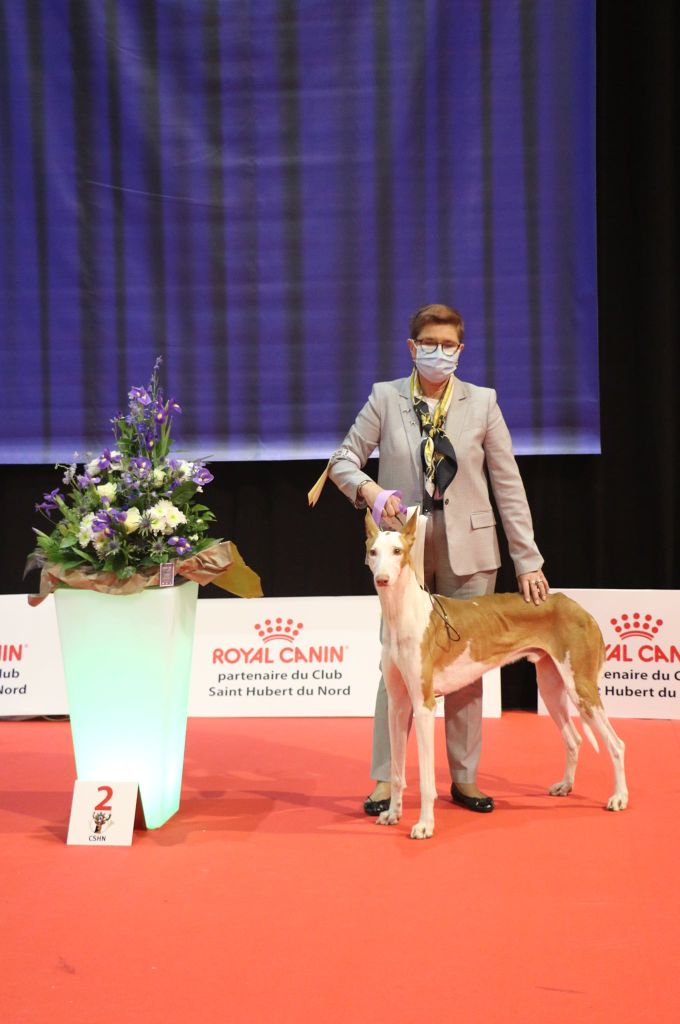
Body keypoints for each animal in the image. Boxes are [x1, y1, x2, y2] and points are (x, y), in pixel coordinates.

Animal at [366, 512, 626, 839]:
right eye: (373, 552)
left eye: (398, 551)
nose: (382, 580)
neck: (403, 615)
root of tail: (579, 608)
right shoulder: (398, 705)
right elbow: (397, 771)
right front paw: (393, 813)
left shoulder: (424, 705)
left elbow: (426, 780)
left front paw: (425, 824)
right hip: (551, 687)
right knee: (575, 739)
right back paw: (566, 785)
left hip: (581, 688)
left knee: (616, 744)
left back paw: (619, 797)